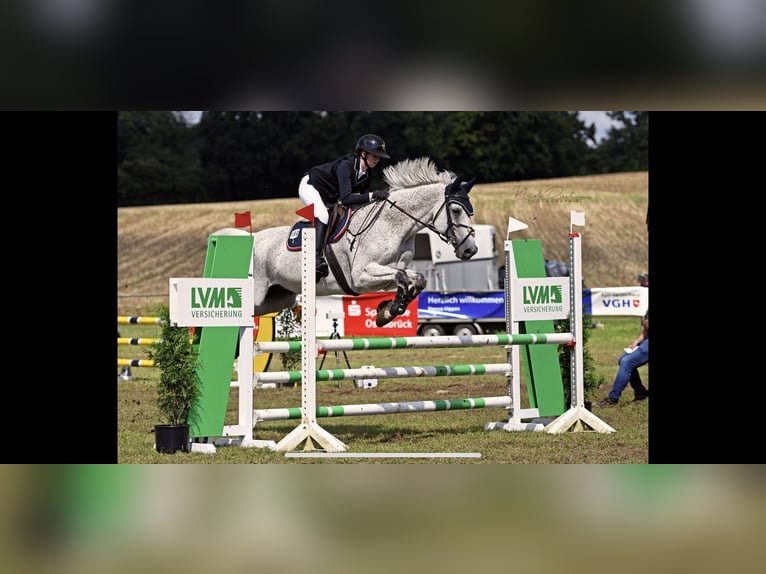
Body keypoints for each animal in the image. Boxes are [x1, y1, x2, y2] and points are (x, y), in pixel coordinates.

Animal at [213, 158, 476, 328]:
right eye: (455, 210)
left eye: (470, 211)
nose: (470, 250)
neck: (394, 225)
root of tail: (250, 239)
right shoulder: (361, 276)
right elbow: (402, 277)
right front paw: (389, 311)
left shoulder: (389, 271)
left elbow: (414, 278)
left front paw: (388, 311)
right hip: (257, 293)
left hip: (276, 298)